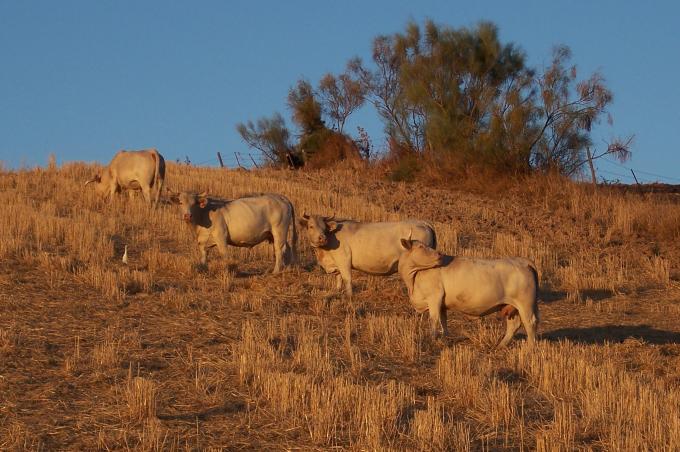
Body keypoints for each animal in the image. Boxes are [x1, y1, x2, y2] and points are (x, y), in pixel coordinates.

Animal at [169, 191, 297, 273]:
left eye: (194, 204)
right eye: (181, 203)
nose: (187, 216)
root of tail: (281, 197)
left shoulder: (221, 237)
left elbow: (224, 255)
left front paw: (226, 271)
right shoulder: (203, 241)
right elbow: (204, 256)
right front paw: (203, 269)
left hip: (279, 230)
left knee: (279, 249)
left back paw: (276, 271)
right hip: (279, 234)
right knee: (287, 248)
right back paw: (288, 268)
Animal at [299, 213, 437, 299]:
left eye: (324, 228)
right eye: (311, 226)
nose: (322, 238)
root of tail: (423, 222)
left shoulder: (344, 260)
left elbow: (347, 278)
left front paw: (349, 296)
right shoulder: (336, 263)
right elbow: (338, 278)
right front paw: (337, 291)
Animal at [397, 237, 539, 347]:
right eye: (421, 246)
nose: (440, 254)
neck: (413, 280)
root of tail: (523, 261)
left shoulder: (434, 298)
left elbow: (434, 320)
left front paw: (433, 339)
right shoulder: (442, 304)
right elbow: (443, 321)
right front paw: (445, 338)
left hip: (525, 304)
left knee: (530, 323)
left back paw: (530, 348)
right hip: (510, 306)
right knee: (513, 325)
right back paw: (501, 345)